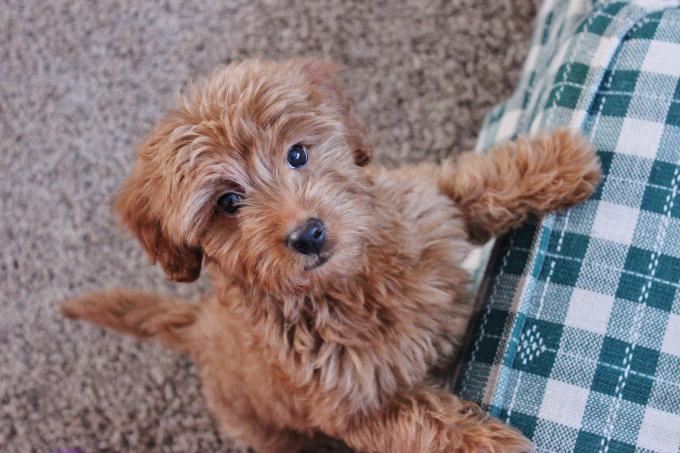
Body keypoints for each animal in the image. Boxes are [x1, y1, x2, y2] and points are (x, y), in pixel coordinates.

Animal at [61, 60, 596, 452]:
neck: (354, 281)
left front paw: (562, 161)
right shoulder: (357, 408)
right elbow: (430, 422)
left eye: (297, 154)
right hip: (271, 429)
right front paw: (492, 445)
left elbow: (472, 182)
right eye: (227, 202)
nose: (309, 234)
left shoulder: (426, 206)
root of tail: (199, 325)